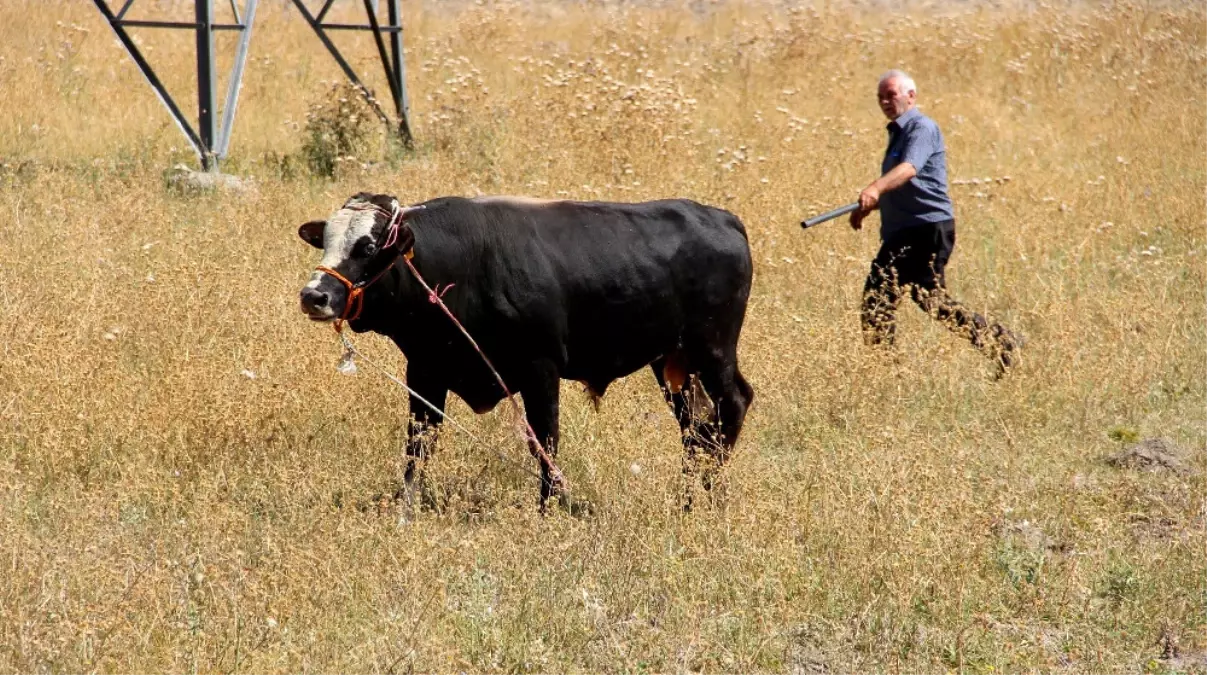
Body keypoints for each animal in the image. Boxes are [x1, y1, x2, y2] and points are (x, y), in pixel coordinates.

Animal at [296, 193, 753, 509]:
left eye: (369, 247)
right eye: (327, 241)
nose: (314, 295)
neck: (458, 266)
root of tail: (723, 218)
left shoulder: (540, 369)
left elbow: (544, 442)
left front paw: (548, 509)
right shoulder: (425, 372)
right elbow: (419, 445)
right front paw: (405, 509)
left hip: (713, 350)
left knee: (732, 406)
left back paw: (711, 495)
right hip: (674, 364)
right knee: (696, 428)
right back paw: (691, 498)